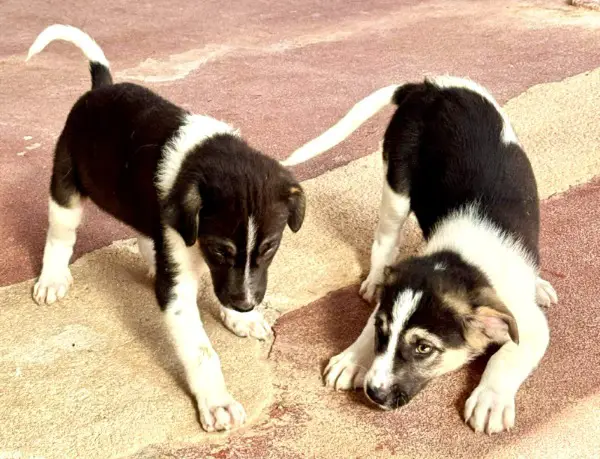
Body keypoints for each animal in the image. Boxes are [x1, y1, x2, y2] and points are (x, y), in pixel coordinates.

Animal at [27, 25, 305, 432]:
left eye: (270, 246)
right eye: (219, 249)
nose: (244, 303)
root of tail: (101, 86)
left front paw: (242, 319)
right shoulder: (178, 286)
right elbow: (201, 350)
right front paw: (217, 403)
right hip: (66, 185)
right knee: (60, 236)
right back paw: (52, 279)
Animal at [283, 76, 557, 433]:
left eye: (423, 348)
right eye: (382, 330)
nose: (373, 392)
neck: (462, 259)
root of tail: (432, 85)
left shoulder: (530, 326)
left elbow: (506, 356)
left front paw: (491, 399)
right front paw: (353, 357)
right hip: (396, 185)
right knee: (384, 241)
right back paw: (375, 279)